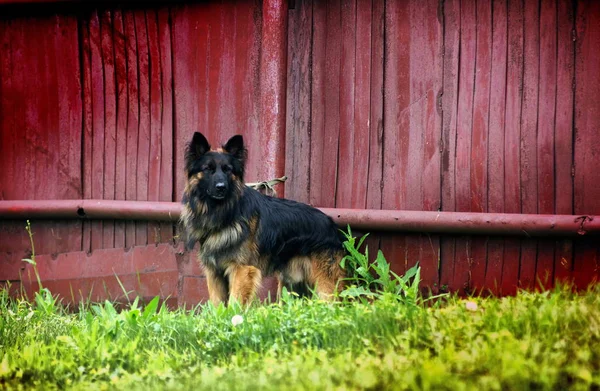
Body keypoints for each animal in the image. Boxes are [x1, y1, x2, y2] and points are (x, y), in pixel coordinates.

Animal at [180, 132, 344, 306]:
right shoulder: (214, 273)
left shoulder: (242, 270)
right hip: (291, 284)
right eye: (208, 169)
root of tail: (331, 224)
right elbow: (217, 305)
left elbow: (234, 304)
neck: (223, 212)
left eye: (228, 170)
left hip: (325, 286)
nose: (221, 187)